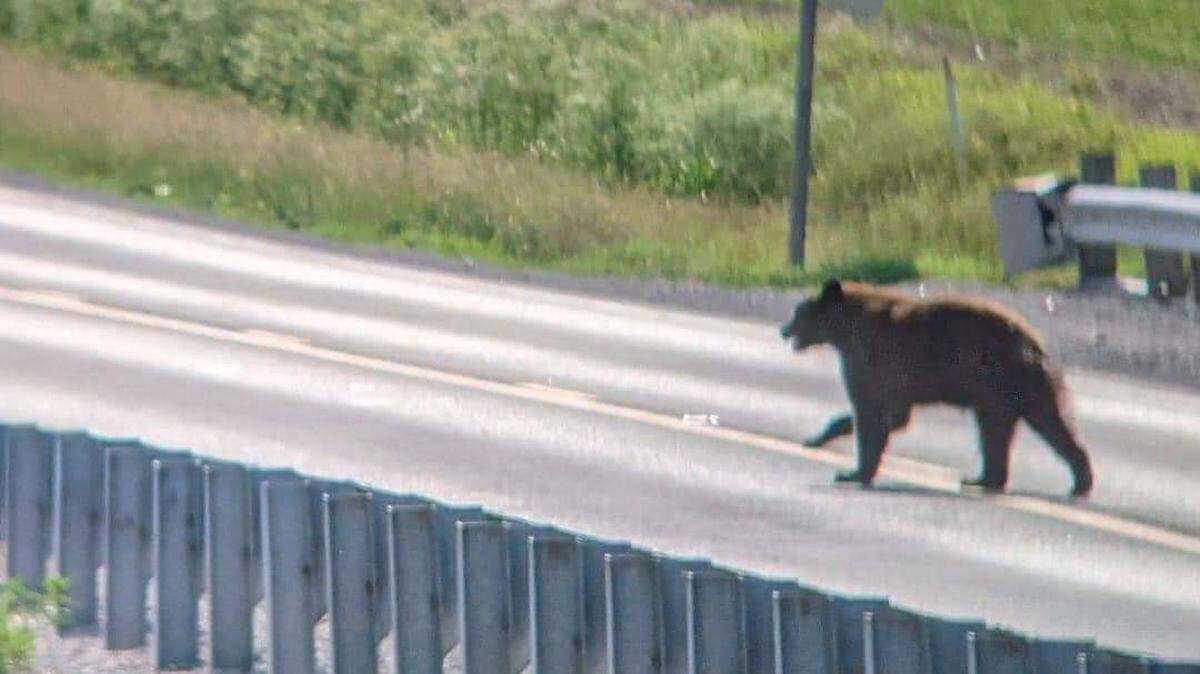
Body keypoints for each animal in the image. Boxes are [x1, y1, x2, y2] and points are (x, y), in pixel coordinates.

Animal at [780, 279, 1093, 497]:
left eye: (799, 311)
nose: (784, 329)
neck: (845, 331)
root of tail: (1033, 343)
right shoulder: (891, 378)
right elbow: (891, 414)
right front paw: (821, 437)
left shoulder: (872, 360)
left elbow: (871, 412)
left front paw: (853, 471)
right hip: (1020, 389)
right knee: (1035, 426)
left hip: (1001, 382)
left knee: (1025, 427)